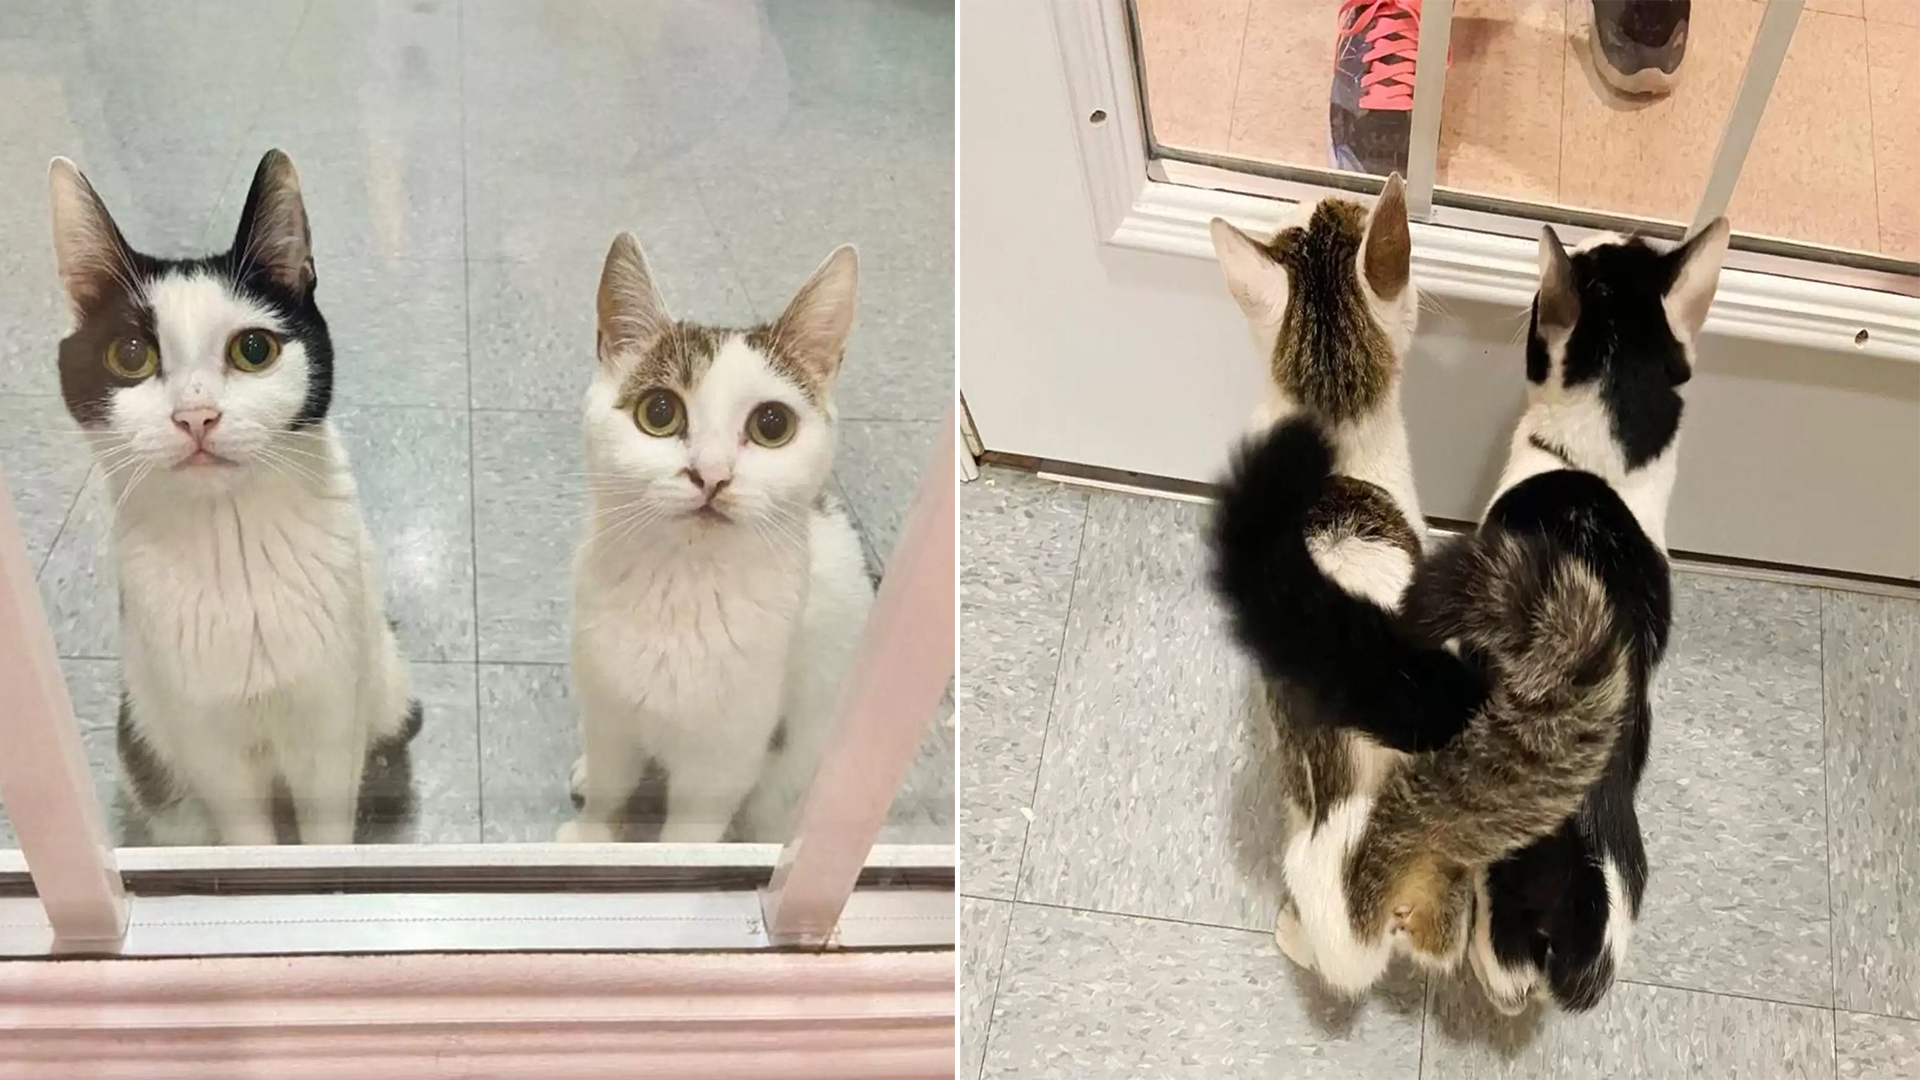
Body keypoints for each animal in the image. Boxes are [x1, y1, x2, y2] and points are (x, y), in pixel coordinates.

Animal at [47, 148, 420, 841]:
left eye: (253, 349)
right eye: (130, 355)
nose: (196, 416)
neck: (236, 541)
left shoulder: (329, 727)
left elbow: (327, 832)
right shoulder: (209, 748)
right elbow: (249, 834)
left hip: (386, 687)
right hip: (147, 742)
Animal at [560, 231, 879, 845]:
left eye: (772, 425)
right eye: (659, 412)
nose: (711, 475)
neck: (681, 591)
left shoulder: (725, 758)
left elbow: (687, 839)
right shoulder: (609, 711)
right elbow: (612, 781)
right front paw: (590, 838)